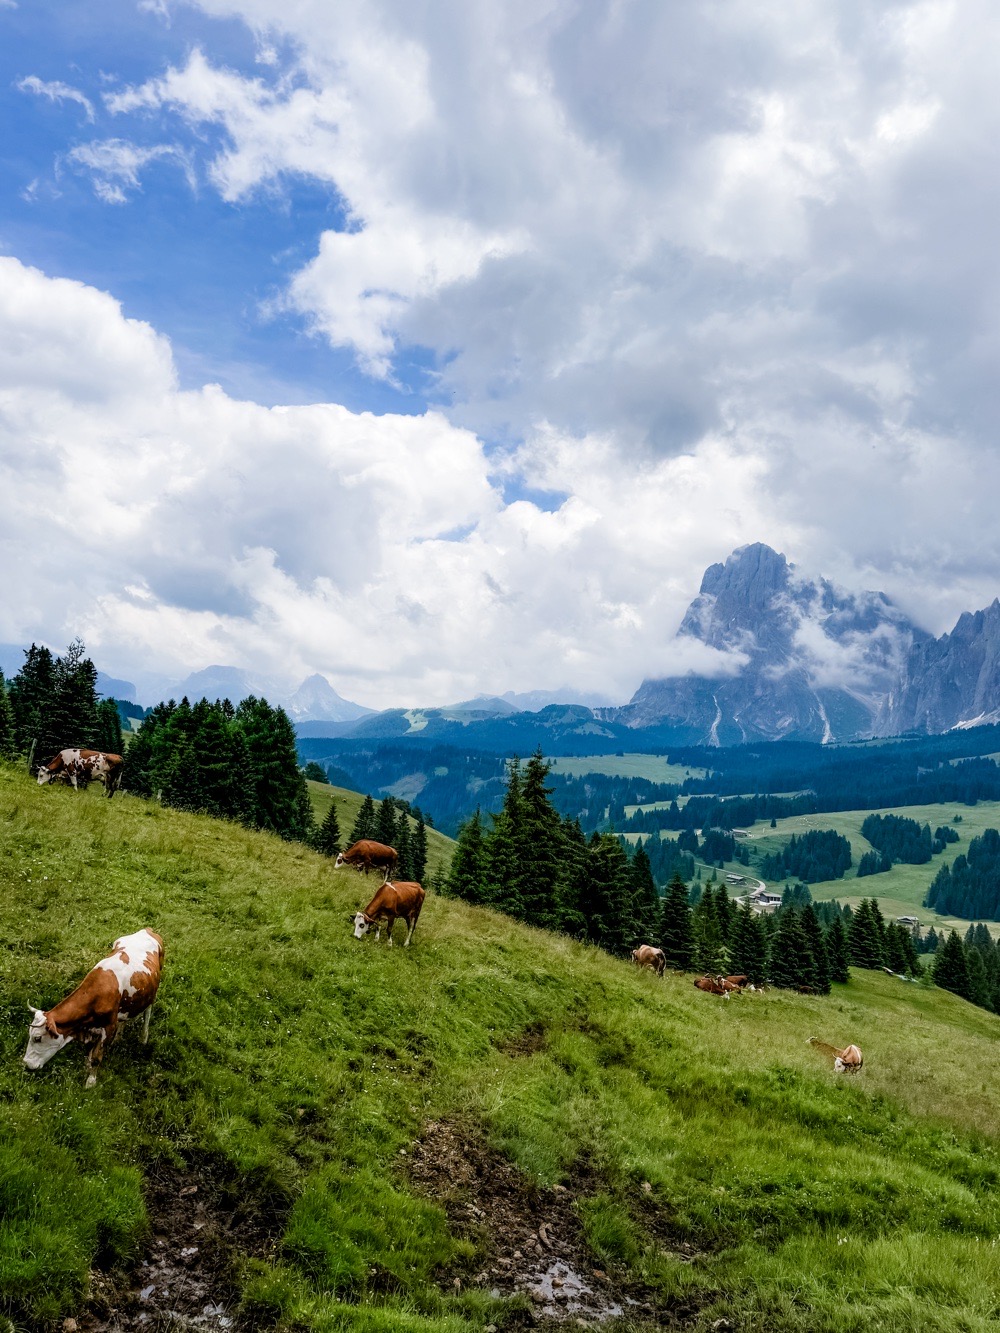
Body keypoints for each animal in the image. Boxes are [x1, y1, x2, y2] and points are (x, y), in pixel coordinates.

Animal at [23, 927, 165, 1082]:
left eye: (37, 1038)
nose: (25, 1064)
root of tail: (147, 929)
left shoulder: (109, 1027)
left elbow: (96, 1058)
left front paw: (90, 1082)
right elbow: (90, 1053)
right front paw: (87, 1068)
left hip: (153, 992)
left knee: (147, 1013)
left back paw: (143, 1038)